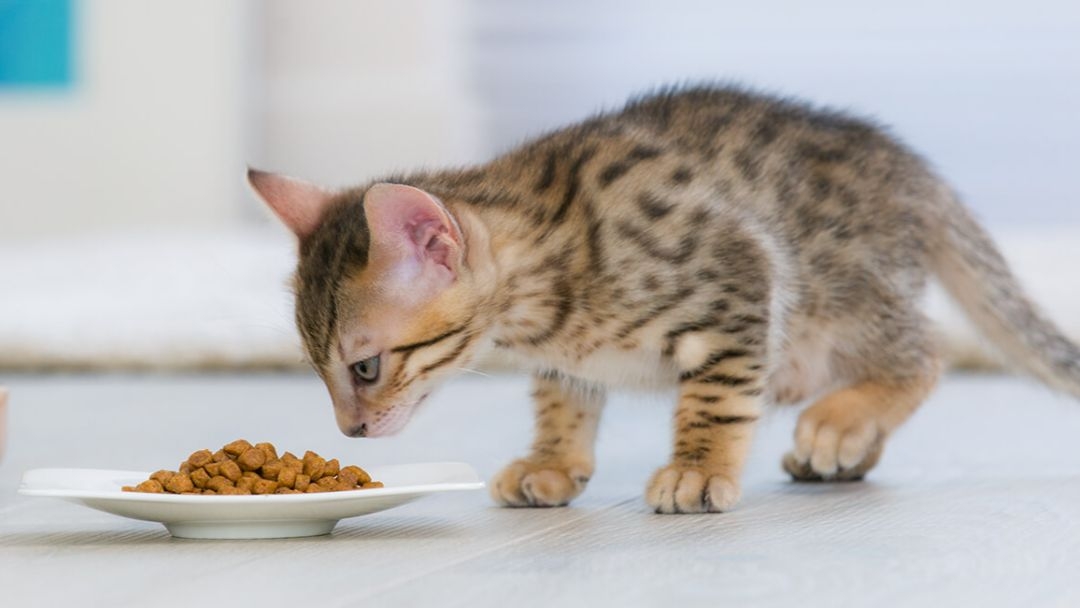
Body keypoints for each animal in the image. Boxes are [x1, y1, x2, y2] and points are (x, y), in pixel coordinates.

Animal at [247, 84, 1080, 514]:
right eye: (319, 369)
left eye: (364, 368)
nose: (350, 432)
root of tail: (914, 170)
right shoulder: (567, 359)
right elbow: (564, 402)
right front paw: (552, 462)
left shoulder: (738, 278)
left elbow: (714, 398)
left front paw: (698, 469)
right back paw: (842, 453)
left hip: (841, 295)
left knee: (924, 354)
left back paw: (841, 425)